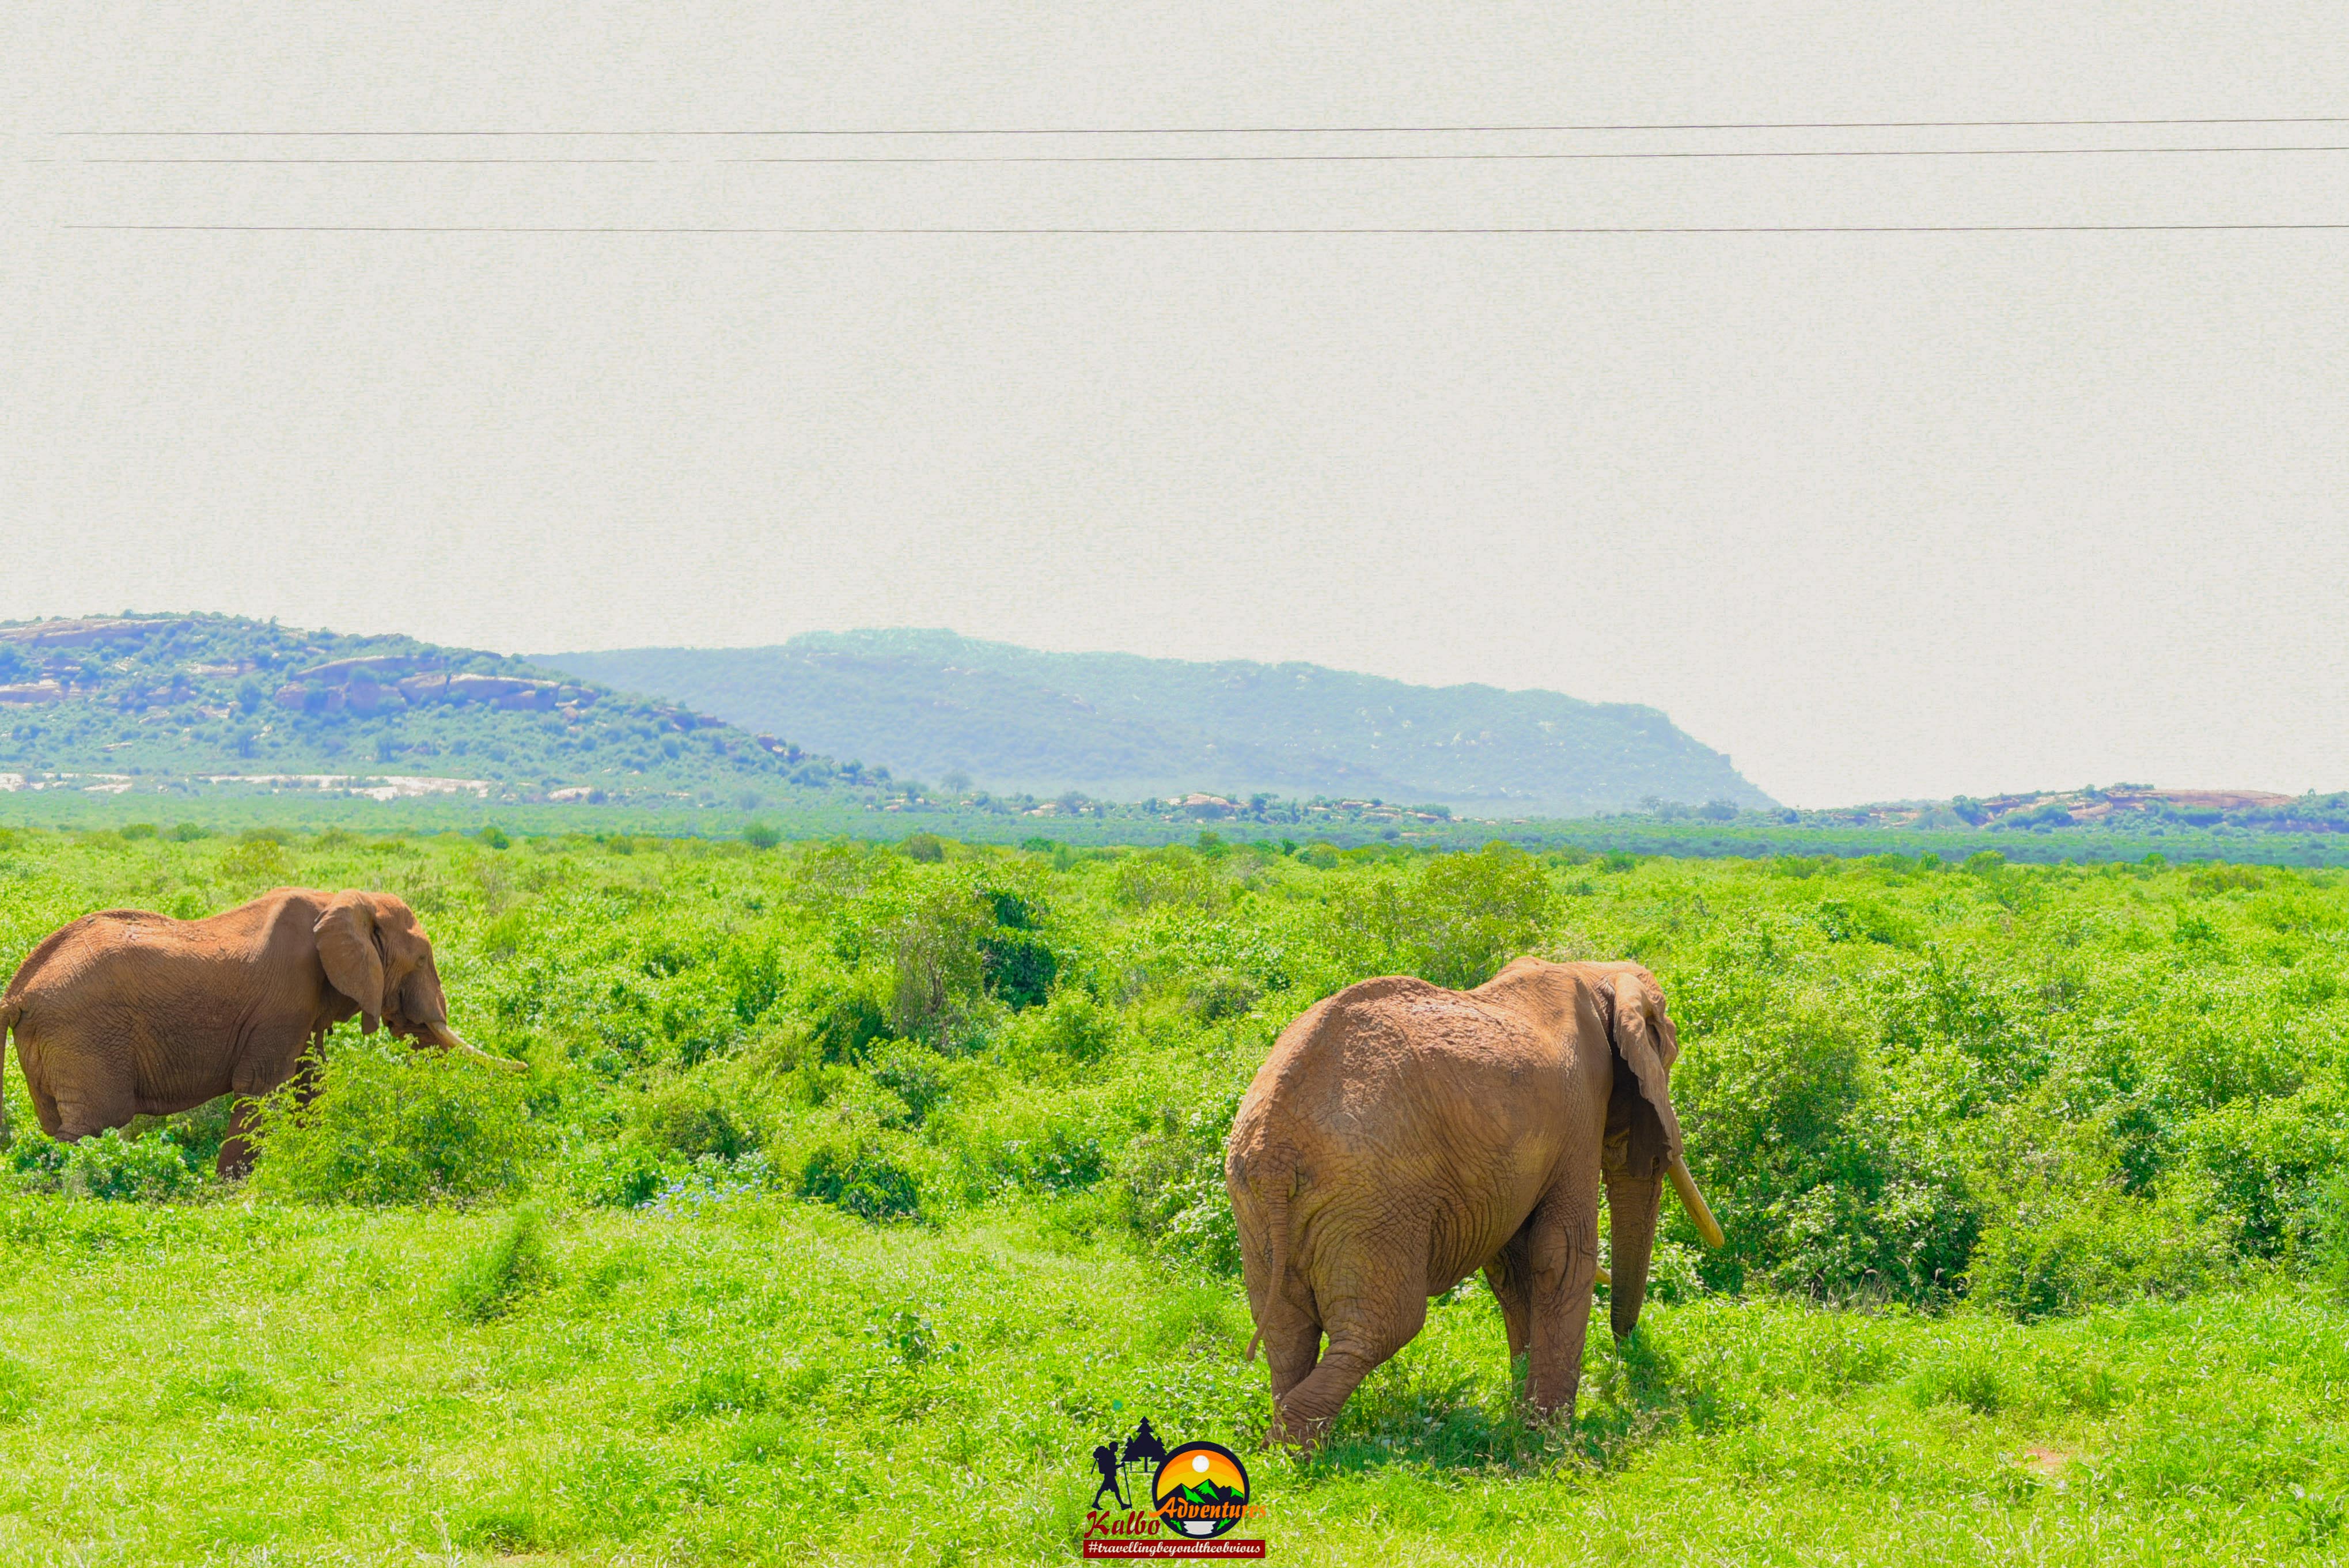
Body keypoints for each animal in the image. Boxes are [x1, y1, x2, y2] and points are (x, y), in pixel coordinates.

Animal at [0, 887, 523, 1174]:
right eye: (422, 958)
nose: (526, 1066)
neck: (341, 899)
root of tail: (17, 992)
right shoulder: (285, 998)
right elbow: (262, 1089)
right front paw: (228, 1191)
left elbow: (310, 1085)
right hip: (83, 1036)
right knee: (93, 1125)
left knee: (54, 1125)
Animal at [1224, 957, 1721, 1446]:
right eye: (1668, 1056)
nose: (1626, 1354)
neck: (1593, 969)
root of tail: (1275, 1151)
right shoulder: (1581, 1103)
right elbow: (1562, 1255)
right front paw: (1550, 1439)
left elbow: (1517, 1267)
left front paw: (1526, 1421)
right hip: (1371, 1201)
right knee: (1382, 1329)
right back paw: (1294, 1449)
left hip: (1258, 1202)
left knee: (1287, 1331)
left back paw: (1281, 1448)